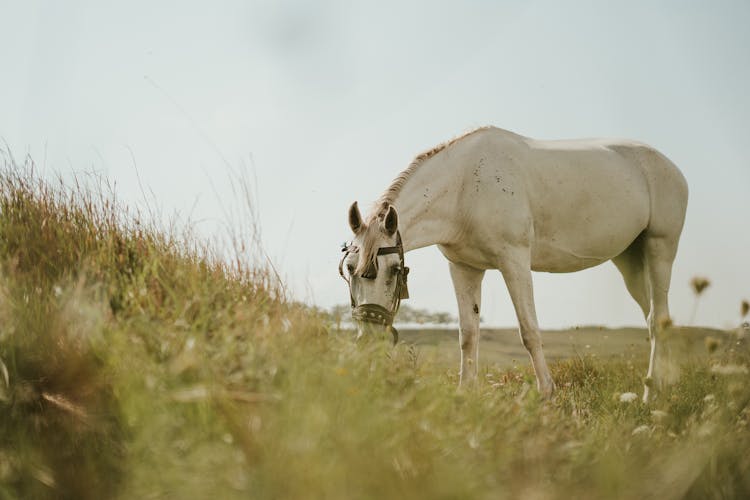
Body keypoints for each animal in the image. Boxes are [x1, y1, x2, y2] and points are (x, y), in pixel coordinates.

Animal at [344, 127, 692, 400]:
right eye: (349, 270)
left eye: (393, 270)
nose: (368, 340)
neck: (464, 188)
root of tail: (672, 169)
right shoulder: (464, 268)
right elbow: (468, 335)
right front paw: (465, 395)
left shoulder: (514, 261)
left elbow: (529, 330)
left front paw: (547, 393)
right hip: (630, 261)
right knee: (656, 318)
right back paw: (664, 387)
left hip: (660, 249)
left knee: (656, 319)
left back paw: (651, 395)